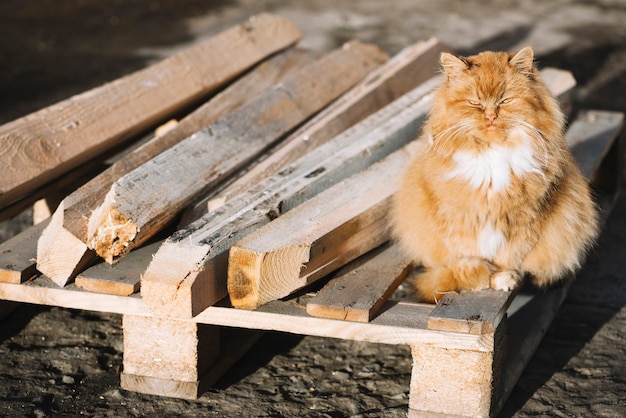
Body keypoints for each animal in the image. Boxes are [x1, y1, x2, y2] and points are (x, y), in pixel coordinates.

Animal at [390, 46, 600, 304]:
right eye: (474, 103)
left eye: (505, 100)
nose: (490, 116)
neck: (492, 154)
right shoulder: (458, 216)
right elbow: (467, 255)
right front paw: (477, 276)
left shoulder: (522, 221)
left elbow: (506, 257)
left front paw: (502, 279)